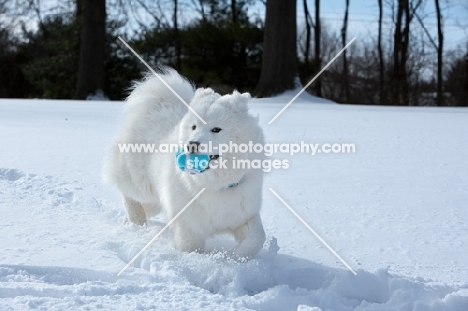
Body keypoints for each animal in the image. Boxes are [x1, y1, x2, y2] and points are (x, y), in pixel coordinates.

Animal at [104, 68, 266, 258]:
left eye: (216, 129)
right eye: (194, 127)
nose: (191, 144)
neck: (215, 185)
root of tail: (159, 103)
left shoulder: (243, 214)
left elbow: (257, 238)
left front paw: (236, 256)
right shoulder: (189, 226)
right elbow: (191, 248)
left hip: (156, 201)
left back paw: (129, 225)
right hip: (141, 184)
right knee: (129, 196)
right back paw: (136, 220)